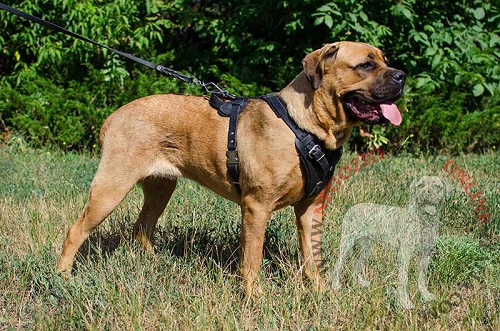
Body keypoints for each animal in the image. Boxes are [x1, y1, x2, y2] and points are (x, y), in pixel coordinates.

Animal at [55, 40, 406, 296]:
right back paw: (62, 277)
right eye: (365, 65)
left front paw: (320, 292)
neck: (305, 126)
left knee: (142, 227)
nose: (401, 75)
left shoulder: (310, 207)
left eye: (384, 60)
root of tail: (113, 117)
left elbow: (312, 255)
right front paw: (254, 298)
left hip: (161, 187)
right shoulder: (256, 207)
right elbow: (251, 259)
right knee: (76, 230)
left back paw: (153, 264)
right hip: (111, 187)